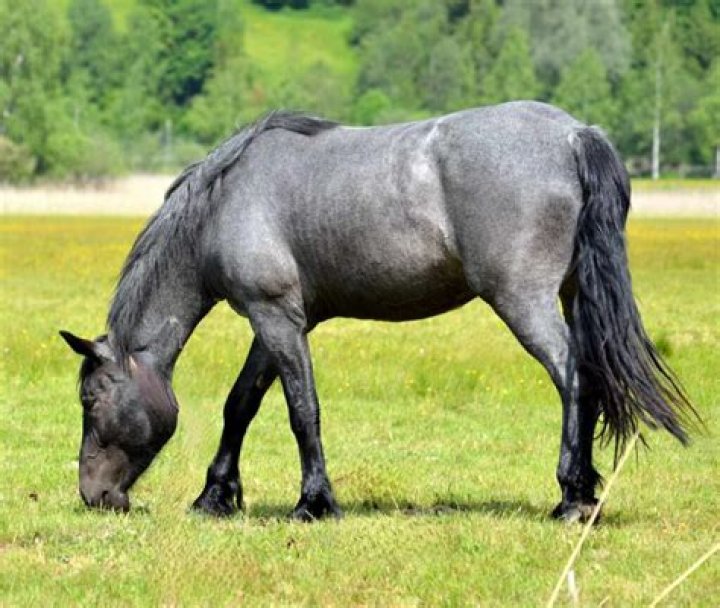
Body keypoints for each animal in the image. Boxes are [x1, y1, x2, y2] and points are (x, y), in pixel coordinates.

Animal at [60, 101, 696, 522]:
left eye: (90, 399)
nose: (93, 495)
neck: (225, 201)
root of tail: (573, 135)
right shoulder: (276, 323)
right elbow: (241, 405)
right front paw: (215, 496)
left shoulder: (276, 318)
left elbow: (302, 411)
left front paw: (313, 502)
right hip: (568, 294)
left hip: (525, 302)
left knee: (574, 378)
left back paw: (572, 497)